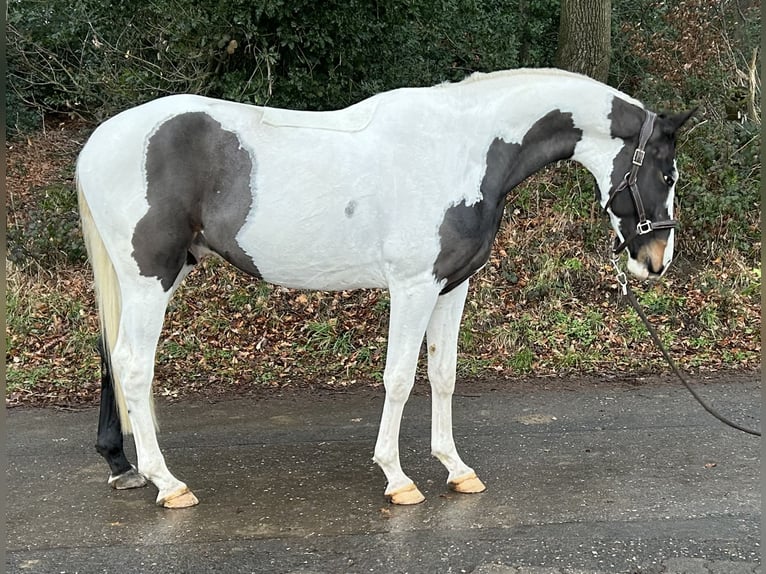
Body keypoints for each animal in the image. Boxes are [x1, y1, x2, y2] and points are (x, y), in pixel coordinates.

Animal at [77, 68, 693, 508]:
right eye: (666, 174)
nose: (655, 262)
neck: (461, 147)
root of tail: (97, 144)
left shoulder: (451, 287)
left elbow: (443, 376)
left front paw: (456, 469)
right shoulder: (413, 287)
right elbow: (398, 379)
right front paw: (398, 478)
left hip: (150, 279)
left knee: (112, 358)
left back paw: (123, 467)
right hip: (149, 279)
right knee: (133, 365)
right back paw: (167, 483)